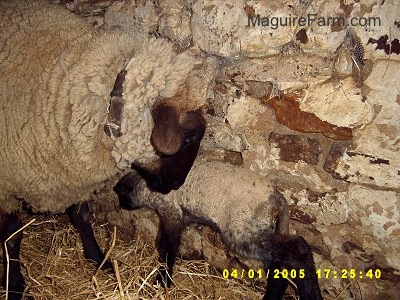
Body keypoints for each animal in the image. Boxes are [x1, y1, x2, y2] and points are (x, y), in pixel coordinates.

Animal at [114, 162, 324, 300]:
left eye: (121, 195)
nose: (121, 206)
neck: (147, 187)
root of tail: (277, 199)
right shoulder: (182, 218)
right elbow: (161, 243)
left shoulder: (171, 213)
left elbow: (168, 249)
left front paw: (162, 282)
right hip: (262, 230)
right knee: (279, 266)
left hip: (241, 232)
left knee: (298, 247)